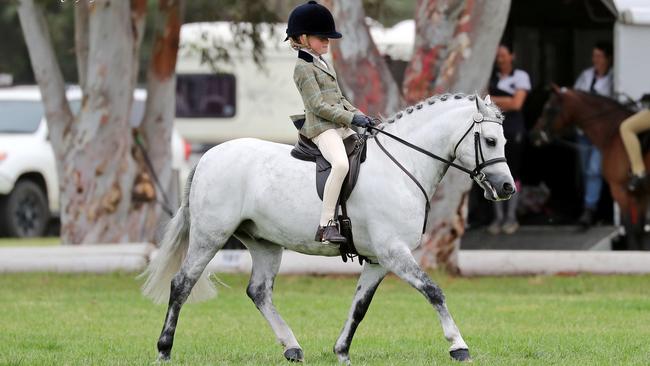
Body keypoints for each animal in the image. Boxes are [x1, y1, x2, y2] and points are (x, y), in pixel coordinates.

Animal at [528, 86, 644, 252]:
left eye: (549, 109)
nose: (533, 135)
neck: (612, 131)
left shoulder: (620, 189)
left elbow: (631, 229)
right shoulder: (639, 194)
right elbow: (639, 230)